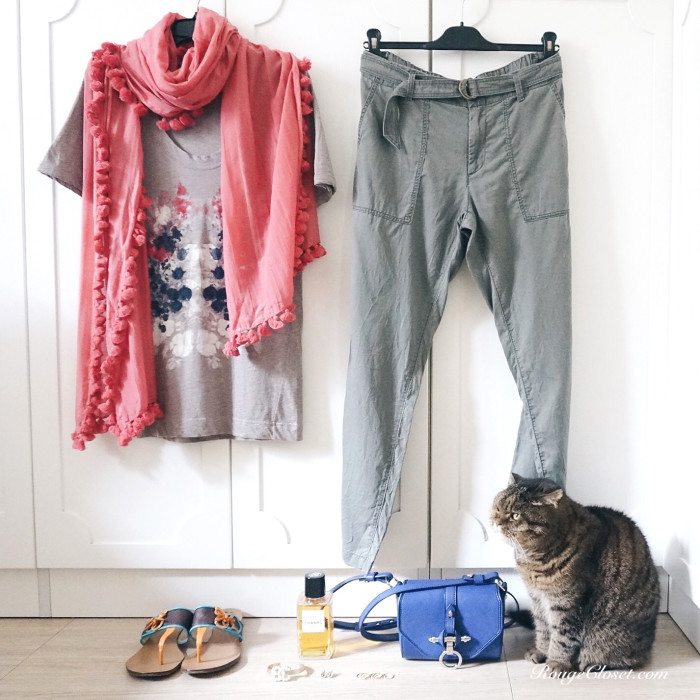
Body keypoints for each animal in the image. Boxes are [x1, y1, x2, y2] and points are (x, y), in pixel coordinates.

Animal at [490, 474, 660, 672]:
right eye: (498, 508)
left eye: (515, 515)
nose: (496, 522)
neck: (533, 559)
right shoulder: (537, 599)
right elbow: (542, 629)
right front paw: (541, 651)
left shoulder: (568, 603)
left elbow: (562, 638)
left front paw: (556, 663)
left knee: (627, 660)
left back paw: (592, 663)